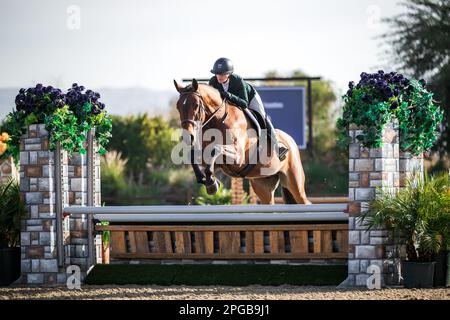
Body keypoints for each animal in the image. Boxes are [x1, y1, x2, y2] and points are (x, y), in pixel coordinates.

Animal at [172, 79, 310, 205]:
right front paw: (208, 181)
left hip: (294, 183)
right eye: (178, 106)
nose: (187, 137)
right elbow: (193, 156)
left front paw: (212, 183)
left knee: (304, 200)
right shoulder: (207, 158)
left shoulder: (238, 158)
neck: (218, 120)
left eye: (196, 105)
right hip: (262, 185)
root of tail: (291, 140)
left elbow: (216, 149)